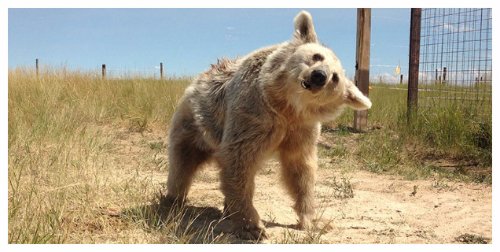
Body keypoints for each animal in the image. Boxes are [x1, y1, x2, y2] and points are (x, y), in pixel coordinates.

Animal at [166, 10, 374, 240]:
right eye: (317, 56)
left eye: (335, 78)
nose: (319, 75)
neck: (286, 105)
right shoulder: (254, 114)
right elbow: (239, 158)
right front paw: (253, 227)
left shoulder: (301, 129)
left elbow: (300, 170)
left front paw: (311, 219)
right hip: (195, 122)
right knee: (182, 163)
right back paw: (173, 200)